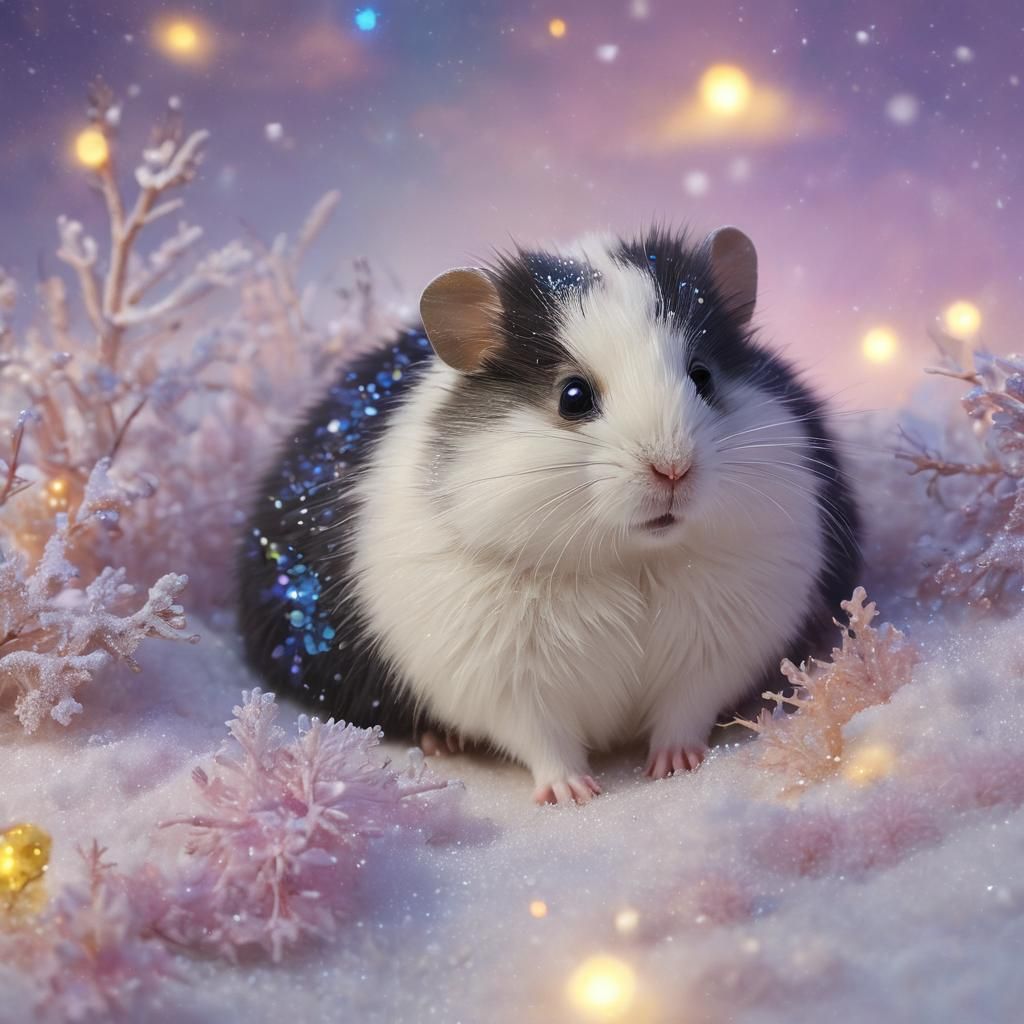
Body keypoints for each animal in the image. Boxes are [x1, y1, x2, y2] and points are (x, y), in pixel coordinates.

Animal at [238, 226, 861, 805]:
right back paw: (444, 742)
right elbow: (544, 741)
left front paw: (676, 768)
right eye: (573, 396)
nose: (673, 470)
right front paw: (574, 795)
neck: (633, 561)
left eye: (703, 376)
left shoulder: (716, 653)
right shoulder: (505, 682)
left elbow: (683, 713)